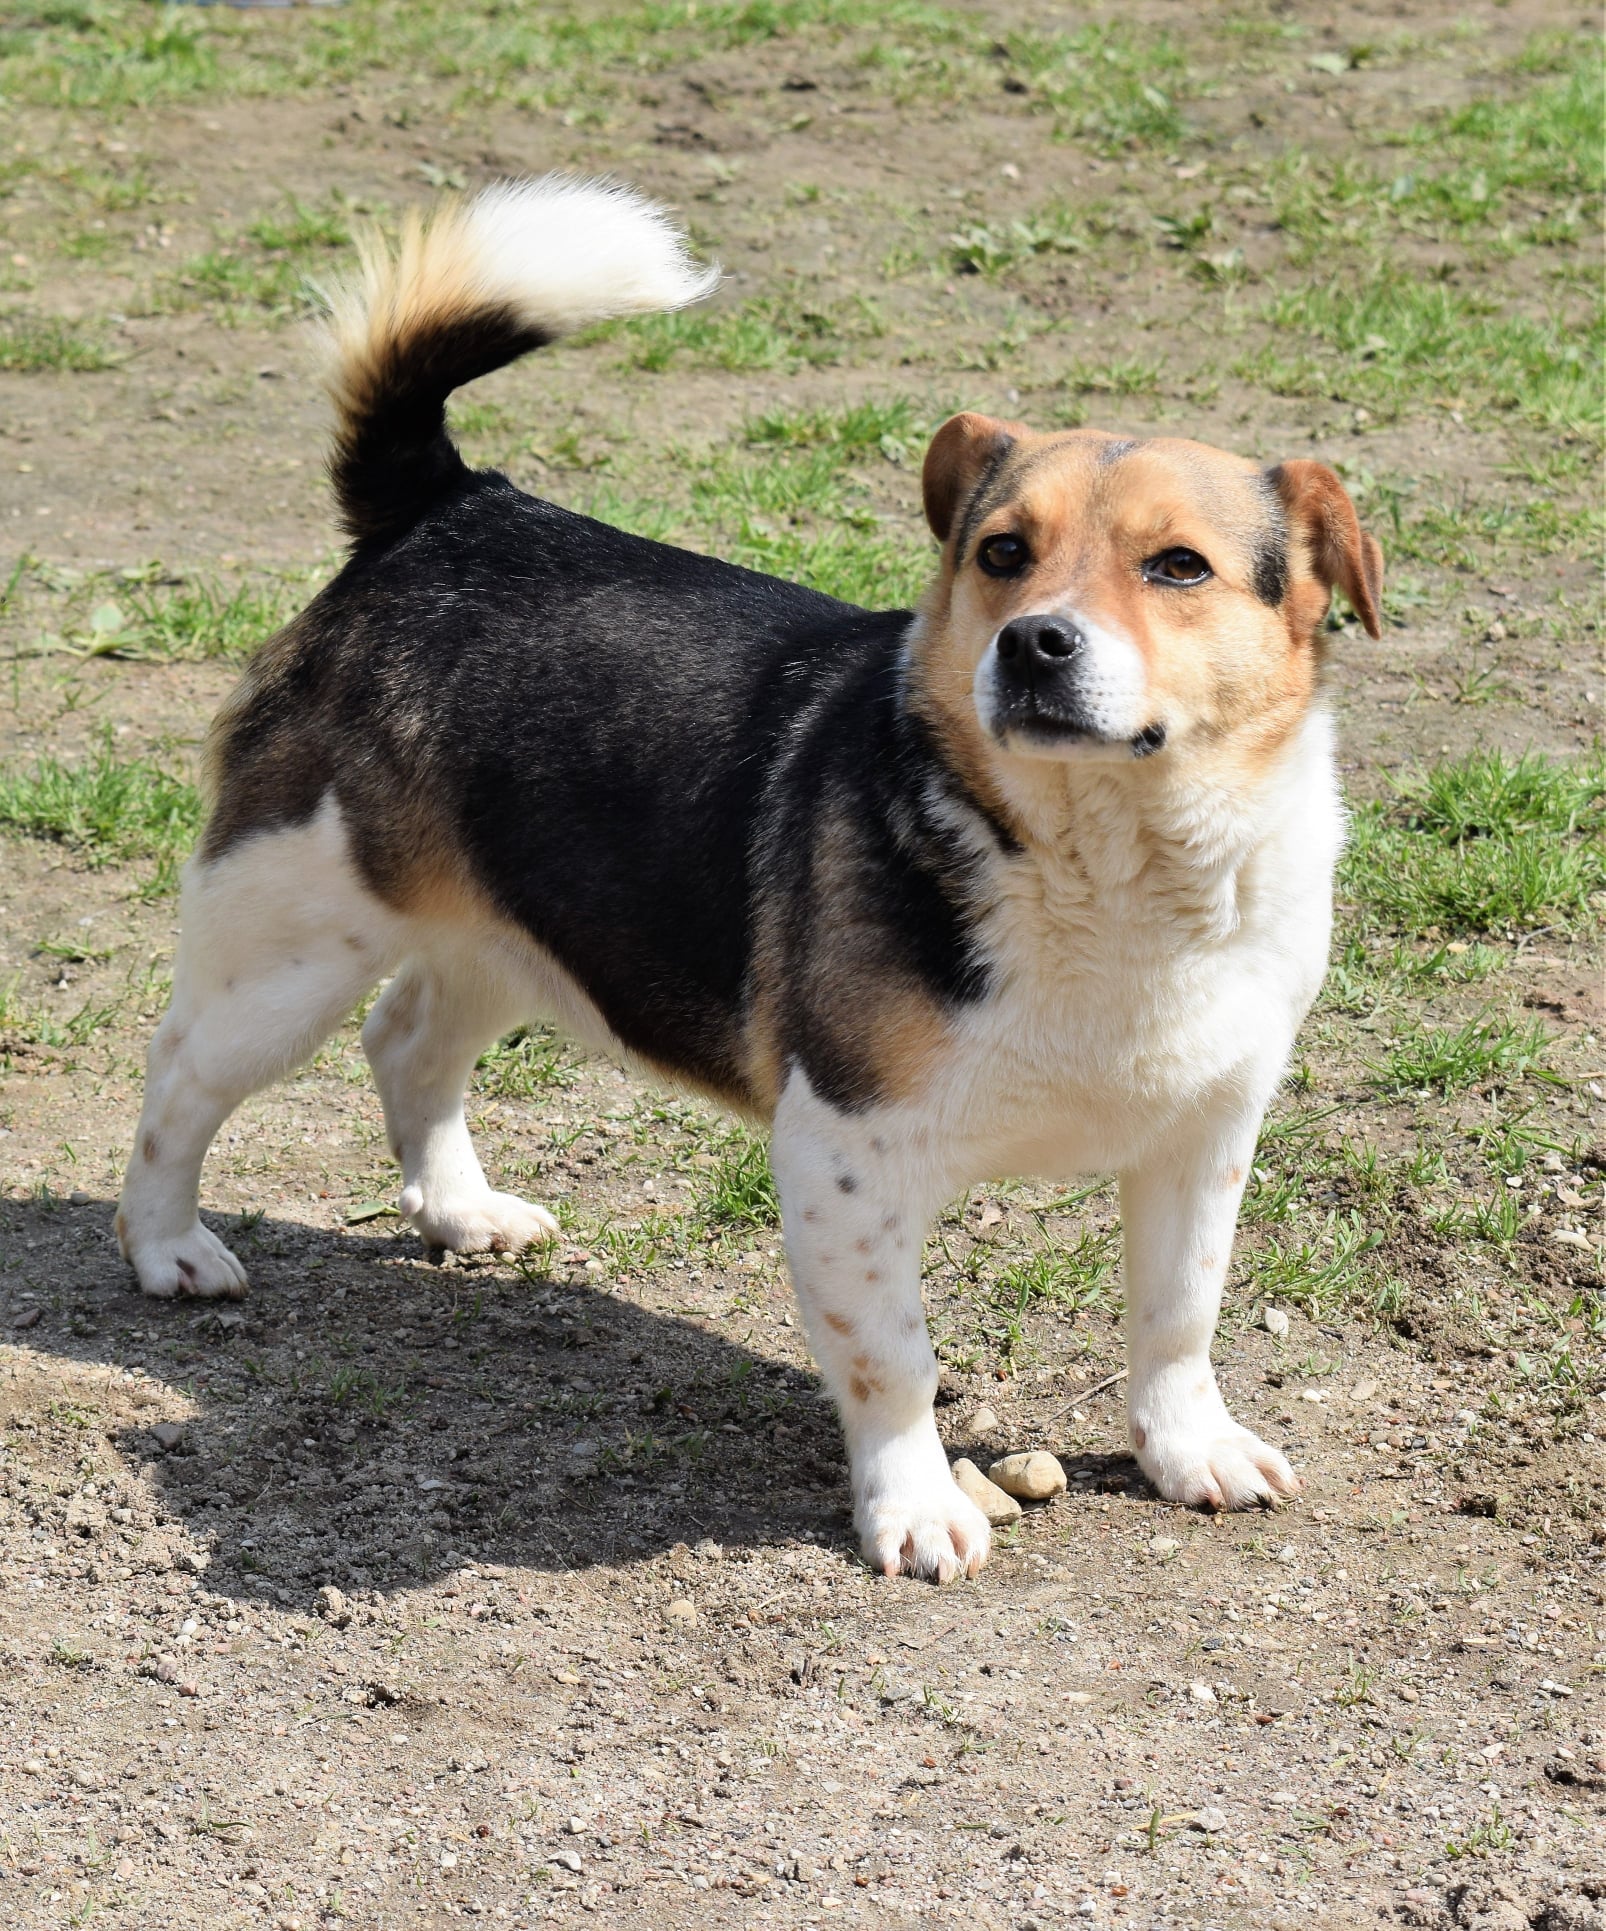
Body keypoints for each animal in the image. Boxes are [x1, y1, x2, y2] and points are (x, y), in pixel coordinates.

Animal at [116, 176, 1383, 1582]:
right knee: (180, 1082)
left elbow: (1177, 1316)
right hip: (287, 948)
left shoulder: (1204, 1133)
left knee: (409, 1043)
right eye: (1001, 552)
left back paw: (457, 1210)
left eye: (1177, 567)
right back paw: (169, 1245)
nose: (1033, 645)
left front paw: (1186, 1448)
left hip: (515, 932)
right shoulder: (847, 1152)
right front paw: (914, 1504)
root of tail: (449, 508)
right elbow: (894, 1359)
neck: (1106, 867)